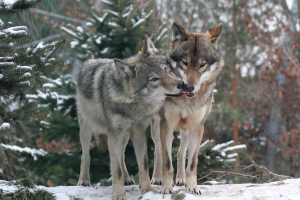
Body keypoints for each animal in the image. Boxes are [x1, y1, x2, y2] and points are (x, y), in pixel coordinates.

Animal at [75, 35, 185, 200]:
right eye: (154, 79)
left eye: (166, 70)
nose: (182, 83)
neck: (134, 103)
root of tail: (89, 61)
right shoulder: (114, 133)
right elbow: (116, 169)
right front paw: (118, 194)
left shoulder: (139, 132)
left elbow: (143, 165)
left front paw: (147, 189)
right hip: (87, 129)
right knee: (85, 155)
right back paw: (83, 180)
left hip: (125, 136)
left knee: (121, 155)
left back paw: (127, 178)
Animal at [151, 22, 224, 195]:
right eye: (184, 62)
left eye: (202, 65)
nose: (189, 87)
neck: (186, 101)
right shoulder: (167, 125)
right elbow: (166, 161)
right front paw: (166, 187)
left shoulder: (197, 127)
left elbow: (192, 163)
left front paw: (192, 187)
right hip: (156, 127)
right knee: (157, 152)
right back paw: (157, 178)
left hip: (185, 131)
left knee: (180, 153)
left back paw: (180, 179)